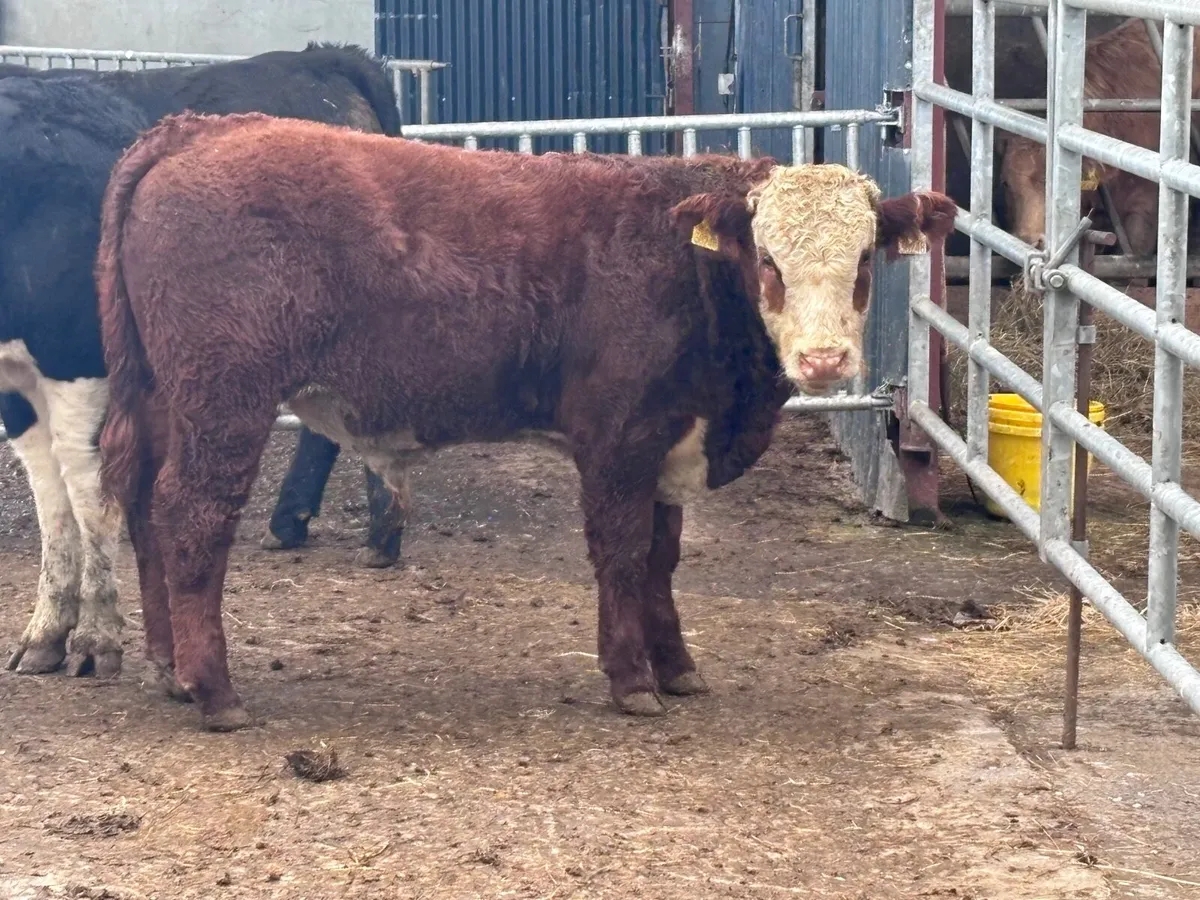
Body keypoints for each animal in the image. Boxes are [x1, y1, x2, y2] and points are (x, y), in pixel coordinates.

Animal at [0, 45, 406, 682]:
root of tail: (321, 60)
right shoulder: (14, 383)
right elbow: (49, 494)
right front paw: (46, 630)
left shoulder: (81, 356)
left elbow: (88, 488)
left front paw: (95, 636)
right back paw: (308, 523)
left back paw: (379, 534)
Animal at [95, 112, 957, 731]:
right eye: (769, 262)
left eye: (865, 261)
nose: (823, 360)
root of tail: (202, 128)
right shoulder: (618, 435)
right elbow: (623, 552)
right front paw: (631, 679)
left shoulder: (667, 437)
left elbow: (662, 557)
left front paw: (676, 666)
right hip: (224, 402)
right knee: (191, 517)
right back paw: (214, 692)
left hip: (164, 399)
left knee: (143, 508)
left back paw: (169, 669)